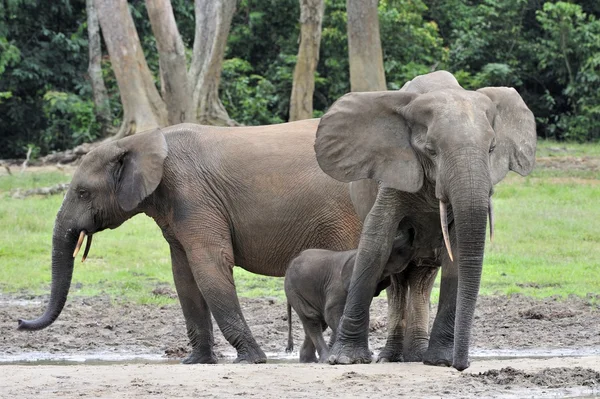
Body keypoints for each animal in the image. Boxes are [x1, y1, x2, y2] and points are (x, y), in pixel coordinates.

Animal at [17, 120, 360, 364]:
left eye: (83, 193)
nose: (20, 323)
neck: (138, 141)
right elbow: (183, 276)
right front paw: (196, 362)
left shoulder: (194, 196)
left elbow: (209, 267)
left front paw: (251, 360)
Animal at [284, 233, 414, 364]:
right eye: (397, 251)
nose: (410, 234)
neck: (357, 253)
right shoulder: (337, 285)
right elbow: (331, 313)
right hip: (294, 290)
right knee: (312, 320)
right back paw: (325, 358)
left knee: (319, 323)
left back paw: (309, 360)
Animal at [316, 71, 536, 372]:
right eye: (431, 150)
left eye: (492, 149)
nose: (462, 365)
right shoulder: (394, 170)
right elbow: (376, 243)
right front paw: (346, 359)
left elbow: (457, 254)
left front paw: (441, 361)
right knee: (397, 280)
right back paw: (391, 357)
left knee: (422, 277)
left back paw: (417, 356)